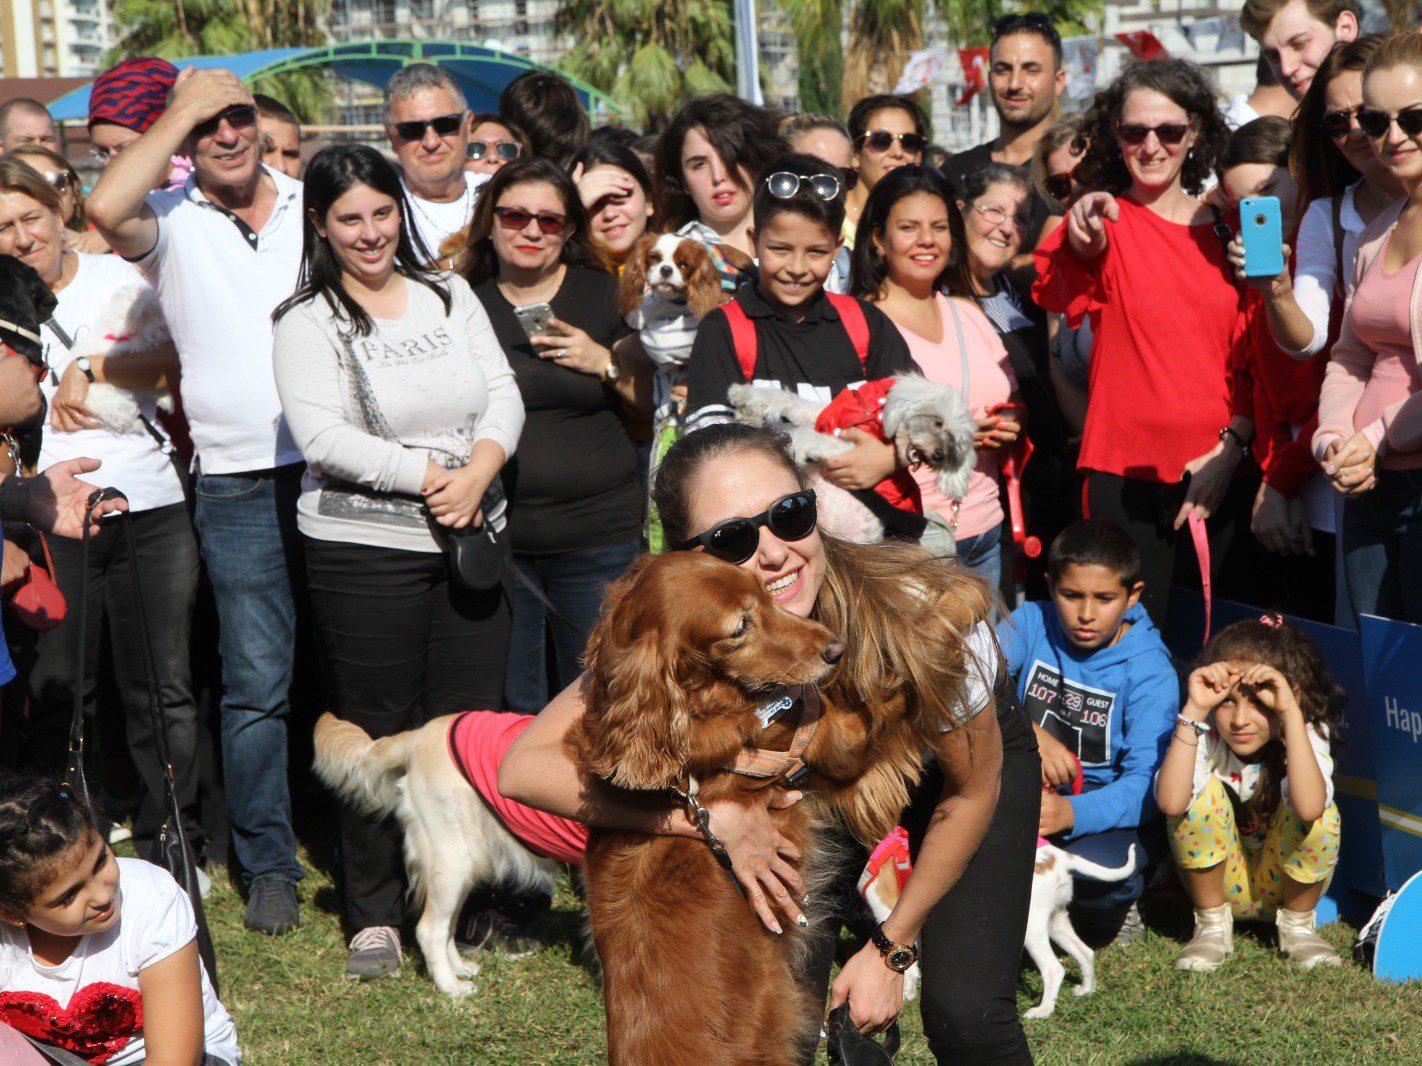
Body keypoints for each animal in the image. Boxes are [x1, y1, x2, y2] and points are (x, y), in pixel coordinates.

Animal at [733, 372, 978, 554]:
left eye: (954, 441)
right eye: (938, 422)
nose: (939, 455)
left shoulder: (850, 450)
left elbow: (806, 435)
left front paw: (790, 441)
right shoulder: (823, 416)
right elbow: (790, 400)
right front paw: (744, 396)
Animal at [1029, 841, 1137, 1017]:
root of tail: (1056, 854)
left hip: (1032, 929)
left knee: (1053, 969)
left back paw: (1043, 1010)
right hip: (1055, 922)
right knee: (1086, 952)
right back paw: (1086, 990)